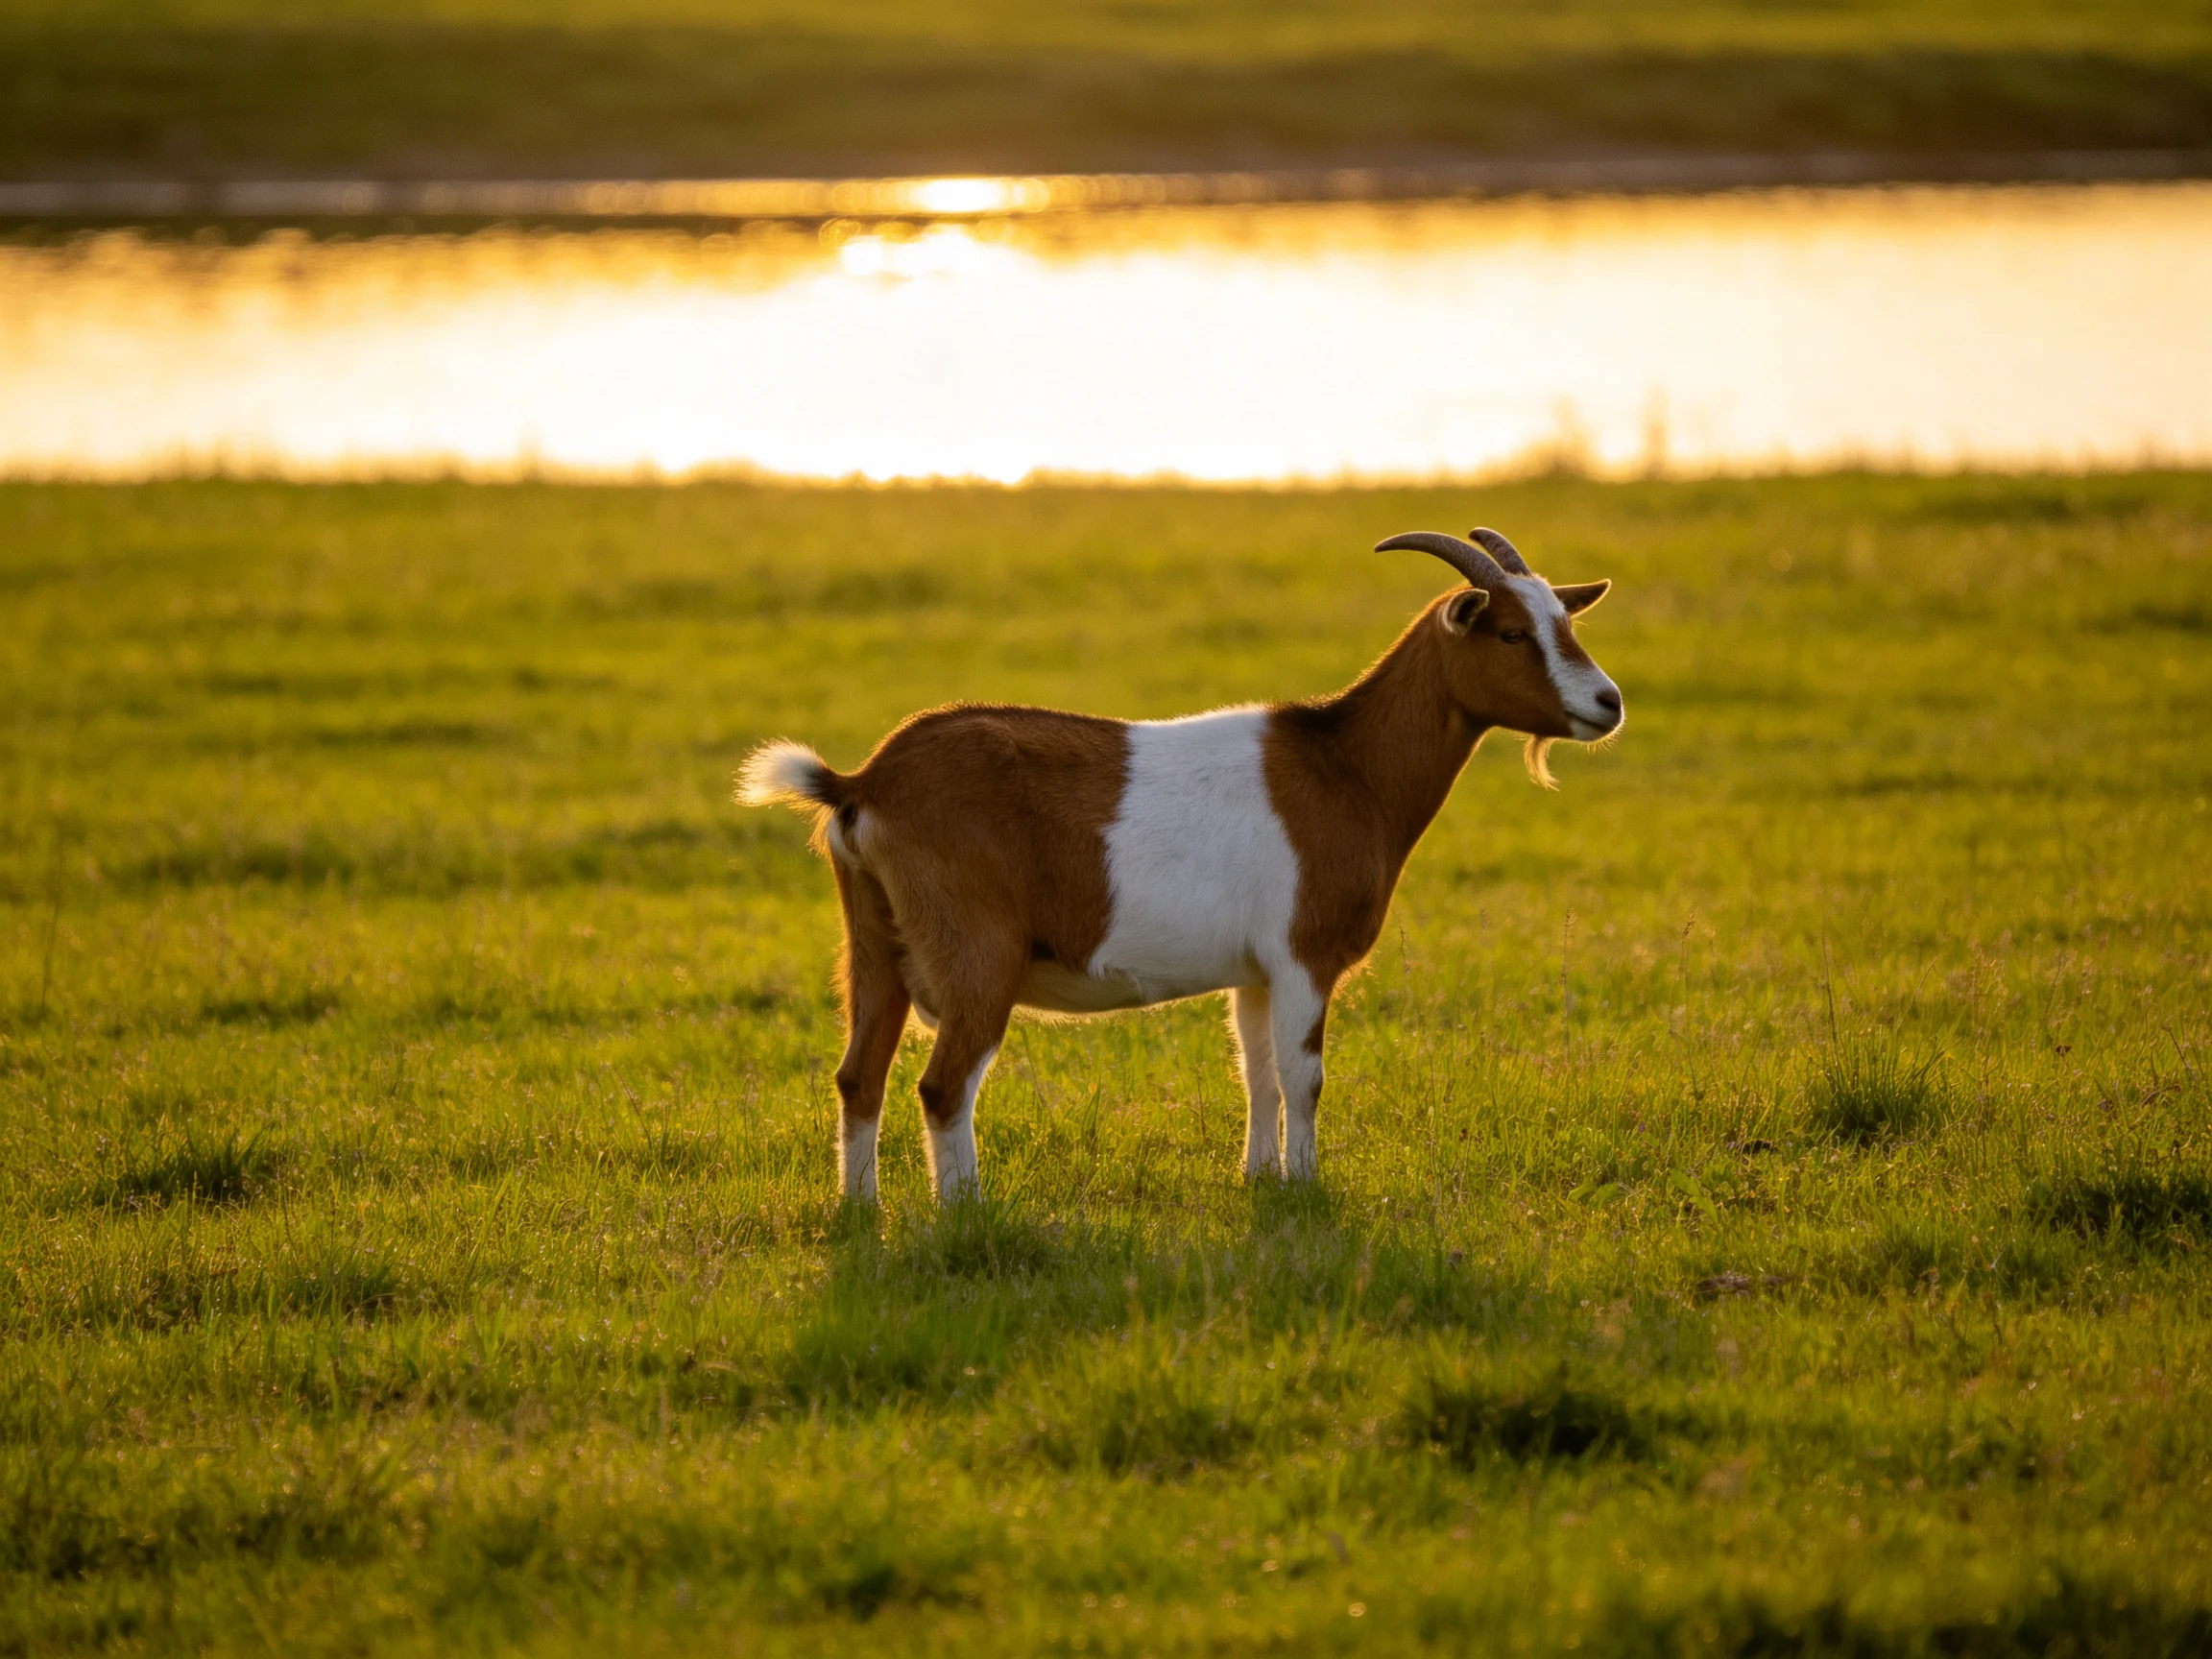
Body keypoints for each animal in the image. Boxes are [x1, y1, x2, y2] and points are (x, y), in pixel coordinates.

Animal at [739, 527, 1622, 1203]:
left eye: (1565, 621)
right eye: (1511, 633)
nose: (1608, 703)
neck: (1345, 768)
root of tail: (863, 783)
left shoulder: (1256, 970)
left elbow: (1257, 1073)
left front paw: (1260, 1181)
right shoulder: (1304, 954)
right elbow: (1303, 1077)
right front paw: (1308, 1188)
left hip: (872, 946)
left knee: (860, 1077)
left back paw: (862, 1212)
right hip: (975, 955)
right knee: (943, 1084)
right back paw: (965, 1214)